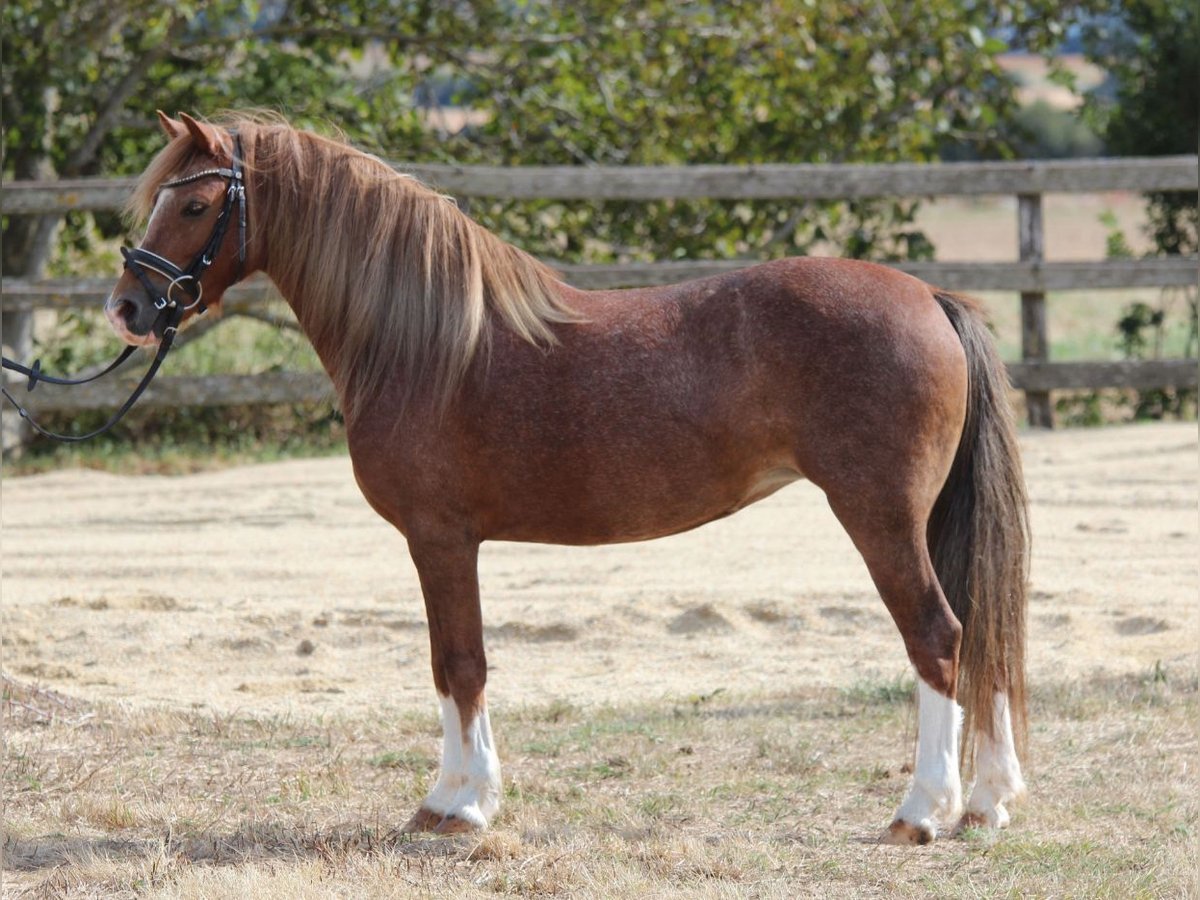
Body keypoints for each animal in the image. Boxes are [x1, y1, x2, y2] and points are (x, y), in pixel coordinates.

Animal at [105, 112, 1032, 844]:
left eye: (196, 204)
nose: (127, 309)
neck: (426, 341)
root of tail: (932, 298)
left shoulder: (440, 540)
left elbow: (460, 663)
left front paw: (458, 806)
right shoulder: (449, 543)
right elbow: (455, 664)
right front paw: (461, 799)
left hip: (878, 514)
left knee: (937, 636)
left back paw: (923, 811)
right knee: (979, 631)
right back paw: (987, 803)